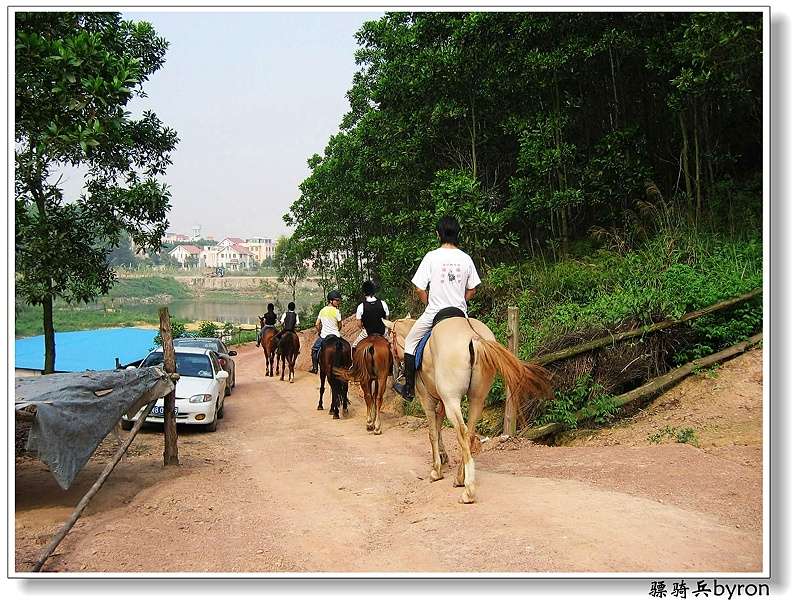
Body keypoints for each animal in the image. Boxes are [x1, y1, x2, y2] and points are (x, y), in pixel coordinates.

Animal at [382, 316, 552, 504]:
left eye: (389, 341)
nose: (395, 369)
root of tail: (474, 337)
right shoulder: (442, 403)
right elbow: (439, 428)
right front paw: (443, 457)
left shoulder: (428, 400)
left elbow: (432, 432)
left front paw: (436, 470)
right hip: (477, 400)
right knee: (469, 433)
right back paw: (460, 477)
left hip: (452, 400)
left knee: (463, 433)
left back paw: (468, 489)